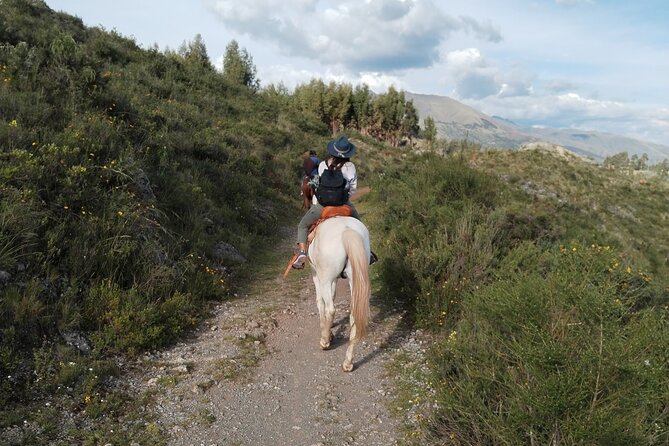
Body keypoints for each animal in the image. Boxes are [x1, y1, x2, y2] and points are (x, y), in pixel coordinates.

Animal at [308, 215, 370, 370]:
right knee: (354, 315)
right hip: (354, 278)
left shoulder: (316, 274)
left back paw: (324, 341)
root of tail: (346, 229)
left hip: (325, 278)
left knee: (331, 308)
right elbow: (333, 294)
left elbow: (320, 302)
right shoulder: (334, 280)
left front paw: (327, 331)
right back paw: (348, 362)